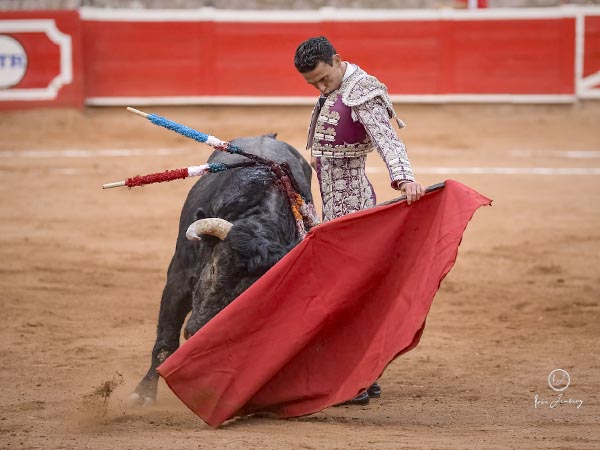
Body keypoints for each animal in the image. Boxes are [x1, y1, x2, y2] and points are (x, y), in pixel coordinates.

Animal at [127, 135, 314, 406]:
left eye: (254, 293)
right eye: (213, 270)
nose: (196, 332)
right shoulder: (178, 279)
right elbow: (165, 341)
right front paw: (142, 395)